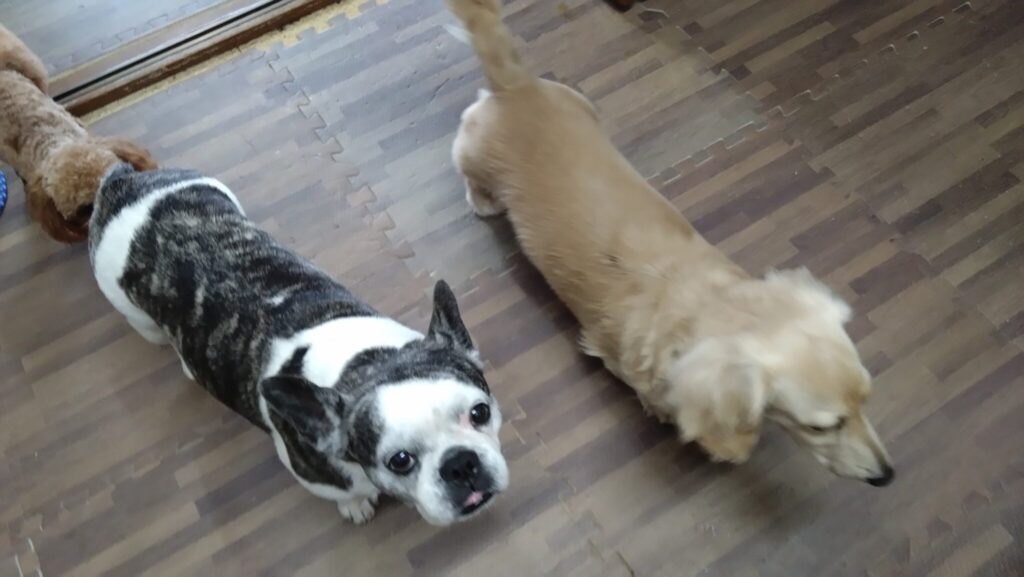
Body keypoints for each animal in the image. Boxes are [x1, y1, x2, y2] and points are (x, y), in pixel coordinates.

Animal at [89, 165, 509, 523]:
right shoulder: (315, 474)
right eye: (400, 461)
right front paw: (356, 504)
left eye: (480, 412)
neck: (364, 362)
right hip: (137, 316)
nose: (460, 463)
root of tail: (119, 183)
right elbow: (346, 492)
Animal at [446, 0, 894, 486]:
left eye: (867, 398)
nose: (886, 475)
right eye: (821, 426)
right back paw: (483, 200)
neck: (711, 304)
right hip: (472, 158)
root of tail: (515, 84)